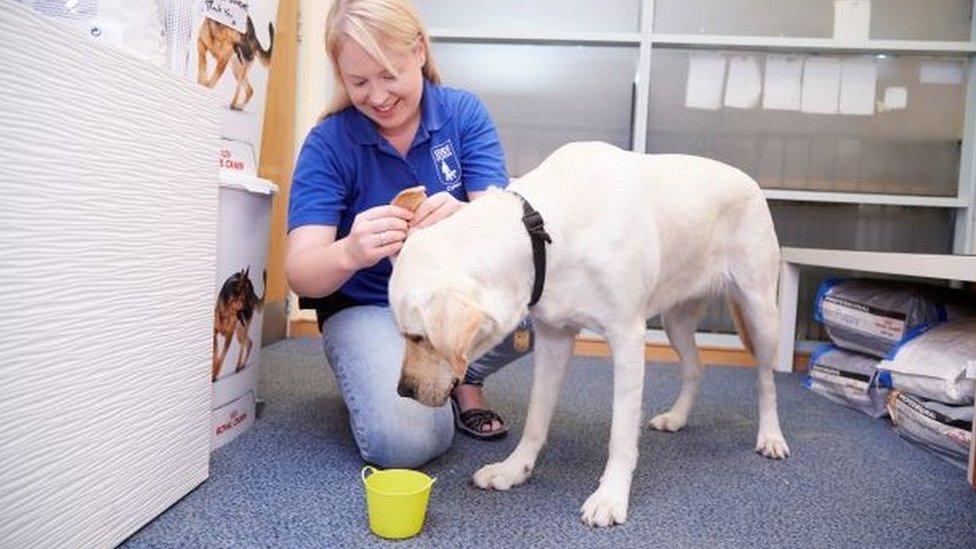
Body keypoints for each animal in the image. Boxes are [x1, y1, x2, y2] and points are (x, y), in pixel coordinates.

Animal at [386, 141, 788, 528]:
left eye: (418, 337)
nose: (403, 391)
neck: (545, 232)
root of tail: (750, 181)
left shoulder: (628, 338)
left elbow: (621, 435)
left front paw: (610, 497)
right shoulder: (553, 339)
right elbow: (535, 419)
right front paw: (514, 469)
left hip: (761, 311)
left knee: (766, 379)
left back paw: (771, 436)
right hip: (677, 319)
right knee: (695, 368)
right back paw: (676, 418)